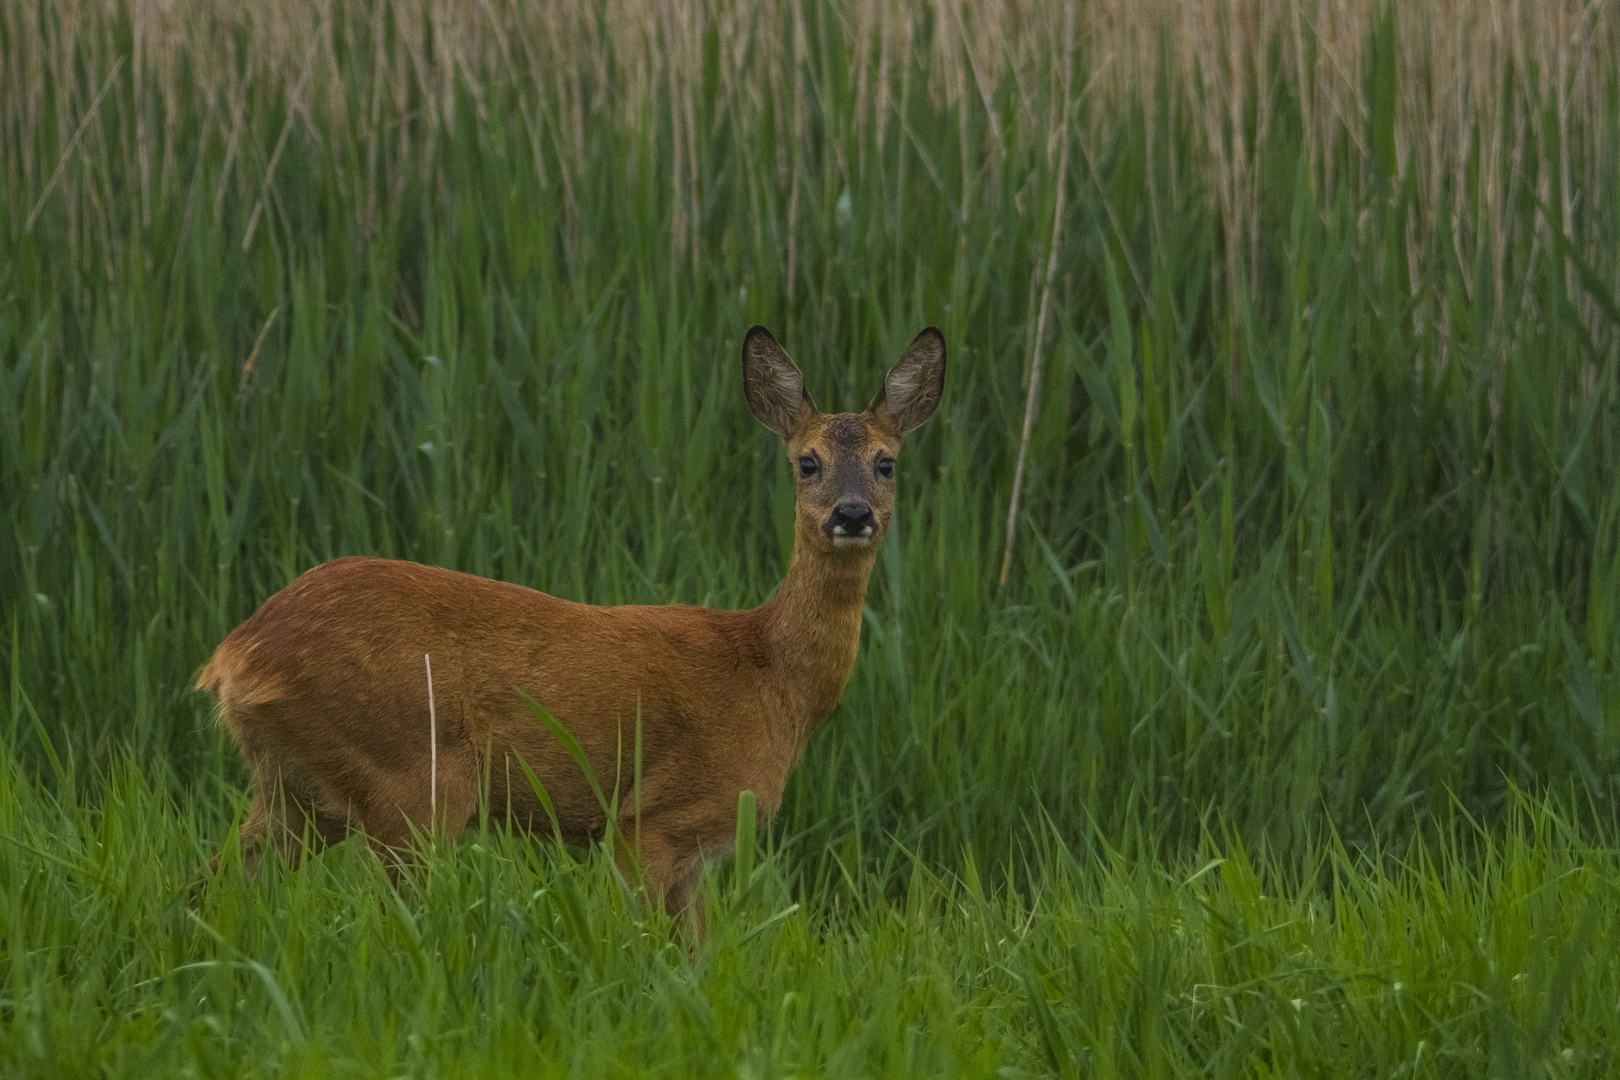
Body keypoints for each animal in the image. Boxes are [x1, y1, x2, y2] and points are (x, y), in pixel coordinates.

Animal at [194, 325, 946, 932]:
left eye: (886, 462)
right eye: (806, 461)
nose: (852, 514)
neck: (771, 677)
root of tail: (236, 656)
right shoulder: (653, 821)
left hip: (296, 791)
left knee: (212, 885)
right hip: (413, 776)